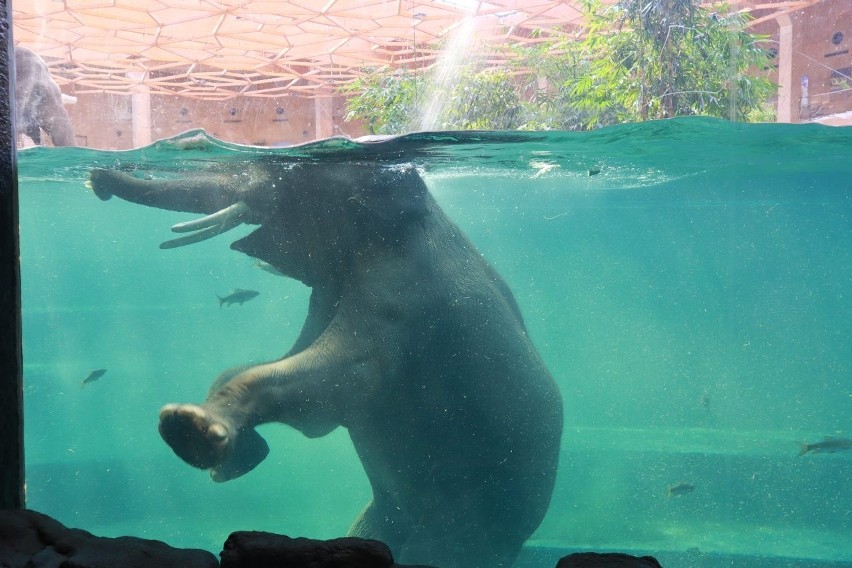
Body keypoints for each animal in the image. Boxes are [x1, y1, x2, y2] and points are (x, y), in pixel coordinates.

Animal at [88, 161, 564, 568]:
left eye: (294, 180)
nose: (98, 179)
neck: (423, 210)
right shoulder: (334, 286)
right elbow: (295, 365)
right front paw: (235, 455)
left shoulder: (402, 294)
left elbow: (341, 376)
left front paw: (191, 430)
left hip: (475, 514)